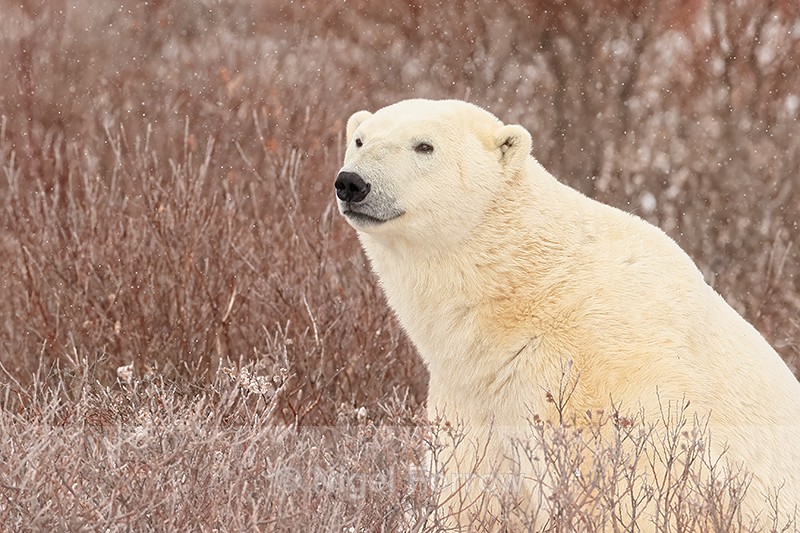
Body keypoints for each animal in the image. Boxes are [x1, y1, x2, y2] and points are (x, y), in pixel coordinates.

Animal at [334, 98, 800, 529]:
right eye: (360, 140)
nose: (352, 183)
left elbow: (604, 488)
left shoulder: (596, 381)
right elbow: (471, 490)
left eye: (424, 145)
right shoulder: (470, 397)